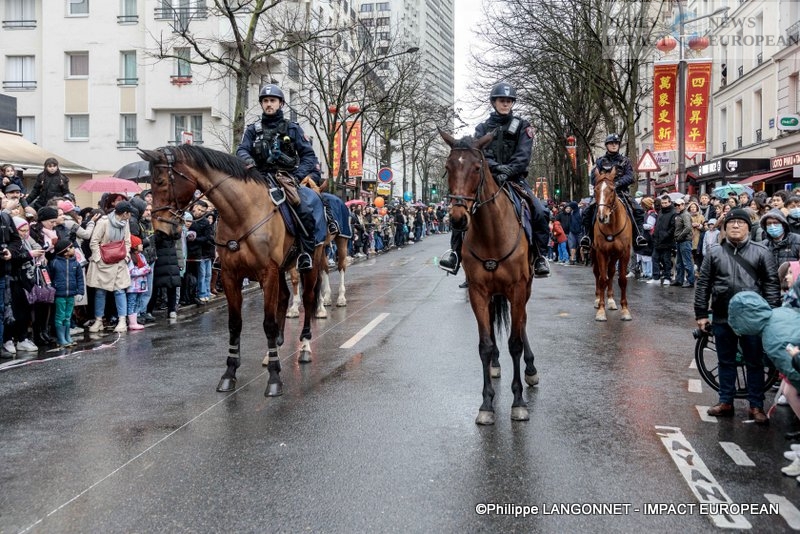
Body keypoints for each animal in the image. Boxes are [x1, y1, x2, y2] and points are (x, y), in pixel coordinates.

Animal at [140, 144, 325, 397]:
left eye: (160, 181)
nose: (160, 231)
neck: (242, 214)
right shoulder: (230, 276)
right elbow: (235, 324)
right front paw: (229, 373)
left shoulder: (267, 273)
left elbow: (268, 323)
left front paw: (274, 378)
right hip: (282, 268)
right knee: (285, 297)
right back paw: (273, 350)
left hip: (310, 263)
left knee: (307, 299)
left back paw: (304, 347)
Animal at [440, 130, 539, 426]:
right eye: (448, 167)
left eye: (476, 168)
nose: (457, 218)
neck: (491, 232)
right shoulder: (478, 292)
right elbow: (484, 344)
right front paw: (486, 404)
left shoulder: (517, 289)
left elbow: (515, 343)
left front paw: (518, 402)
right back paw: (495, 363)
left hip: (525, 289)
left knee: (522, 324)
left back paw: (531, 369)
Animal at [589, 165, 633, 322]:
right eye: (596, 189)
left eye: (613, 189)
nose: (602, 217)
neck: (612, 225)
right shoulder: (601, 252)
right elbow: (602, 279)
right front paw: (601, 310)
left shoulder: (625, 253)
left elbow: (622, 280)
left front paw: (625, 310)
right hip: (594, 253)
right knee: (598, 273)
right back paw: (598, 300)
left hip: (614, 255)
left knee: (611, 272)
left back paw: (612, 301)